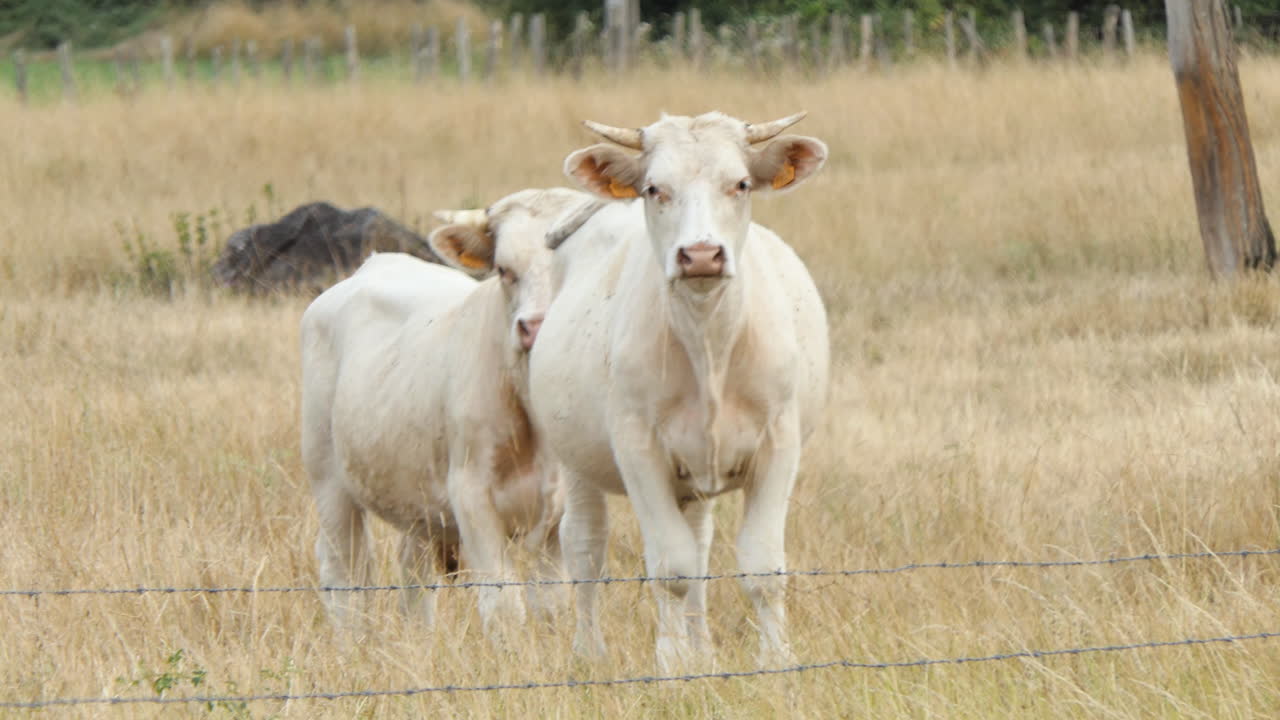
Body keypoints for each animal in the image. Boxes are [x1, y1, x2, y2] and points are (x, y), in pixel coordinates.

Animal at [300, 187, 596, 638]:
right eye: (503, 269)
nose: (535, 327)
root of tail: (376, 263)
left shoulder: (561, 508)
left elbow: (552, 606)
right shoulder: (472, 496)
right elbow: (504, 606)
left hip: (415, 495)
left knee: (413, 574)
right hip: (330, 481)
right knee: (344, 576)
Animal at [529, 112, 830, 670]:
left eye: (741, 183)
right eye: (654, 188)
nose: (702, 255)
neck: (708, 343)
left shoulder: (779, 443)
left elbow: (761, 566)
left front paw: (776, 659)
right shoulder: (638, 450)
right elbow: (672, 568)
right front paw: (670, 664)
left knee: (700, 545)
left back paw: (702, 648)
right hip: (575, 460)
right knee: (584, 546)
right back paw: (590, 651)